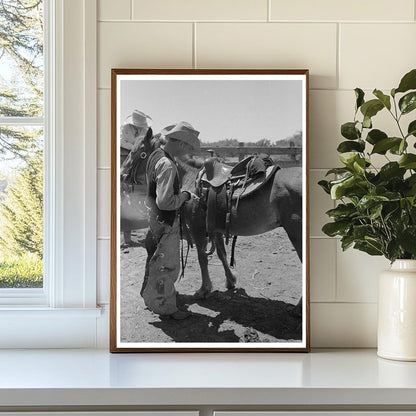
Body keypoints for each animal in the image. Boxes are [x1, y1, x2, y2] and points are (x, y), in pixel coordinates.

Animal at [122, 129, 304, 312]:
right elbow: (221, 254)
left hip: (296, 234)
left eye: (138, 151)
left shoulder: (197, 227)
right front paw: (230, 281)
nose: (123, 174)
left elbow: (202, 257)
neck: (190, 177)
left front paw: (204, 289)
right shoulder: (214, 227)